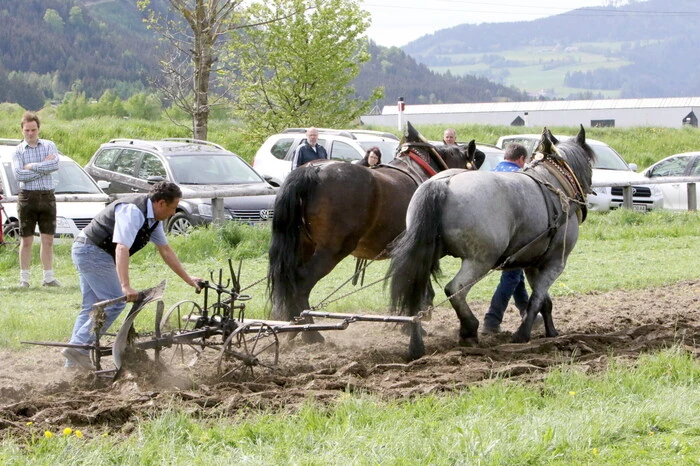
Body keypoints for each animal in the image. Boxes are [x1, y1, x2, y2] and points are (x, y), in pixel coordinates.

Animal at [268, 122, 484, 342]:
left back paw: (293, 330)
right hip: (331, 250)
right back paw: (311, 335)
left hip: (303, 246)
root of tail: (313, 170)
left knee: (290, 280)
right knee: (302, 284)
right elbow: (418, 287)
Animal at [388, 126, 595, 360]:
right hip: (480, 260)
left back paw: (416, 345)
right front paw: (522, 335)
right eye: (590, 161)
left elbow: (545, 302)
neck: (556, 185)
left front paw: (551, 332)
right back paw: (469, 329)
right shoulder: (556, 263)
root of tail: (442, 182)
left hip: (424, 257)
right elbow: (536, 300)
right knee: (455, 289)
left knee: (417, 295)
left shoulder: (534, 264)